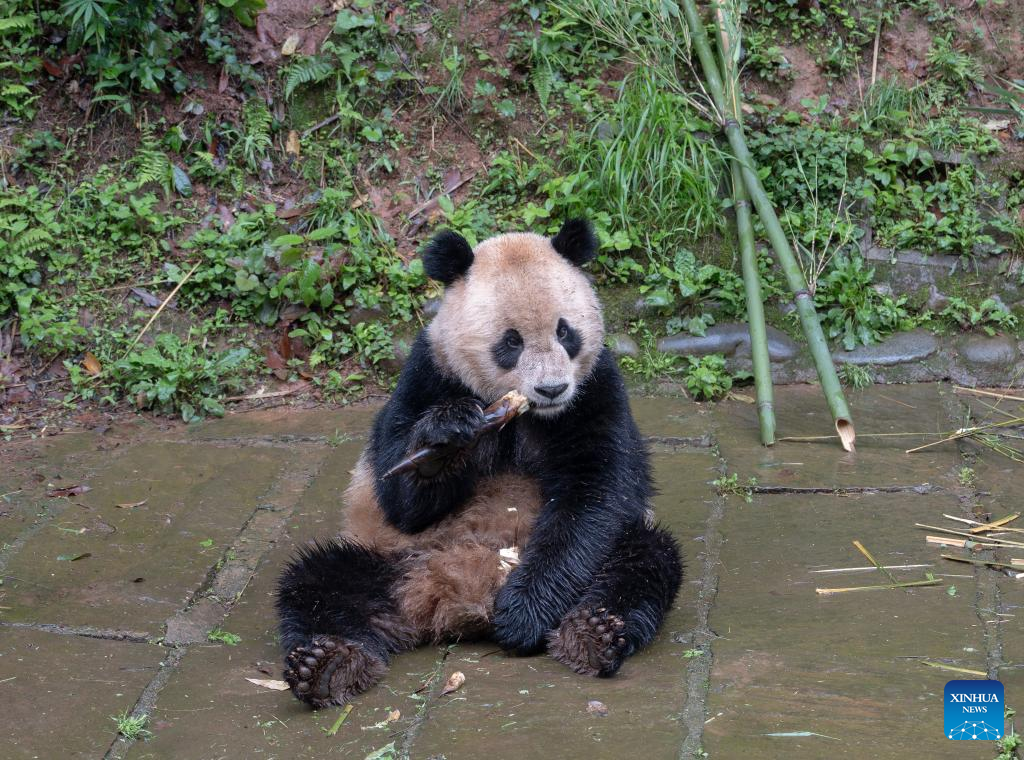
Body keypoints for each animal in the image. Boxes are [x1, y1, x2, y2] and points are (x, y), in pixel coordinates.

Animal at [276, 219, 684, 708]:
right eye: (511, 341)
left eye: (566, 332)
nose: (551, 388)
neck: (521, 413)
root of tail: (455, 597)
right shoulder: (429, 374)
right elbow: (398, 495)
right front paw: (444, 441)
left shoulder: (595, 390)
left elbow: (595, 494)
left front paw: (524, 614)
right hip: (389, 558)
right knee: (318, 583)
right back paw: (329, 666)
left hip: (610, 555)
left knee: (643, 561)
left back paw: (593, 634)